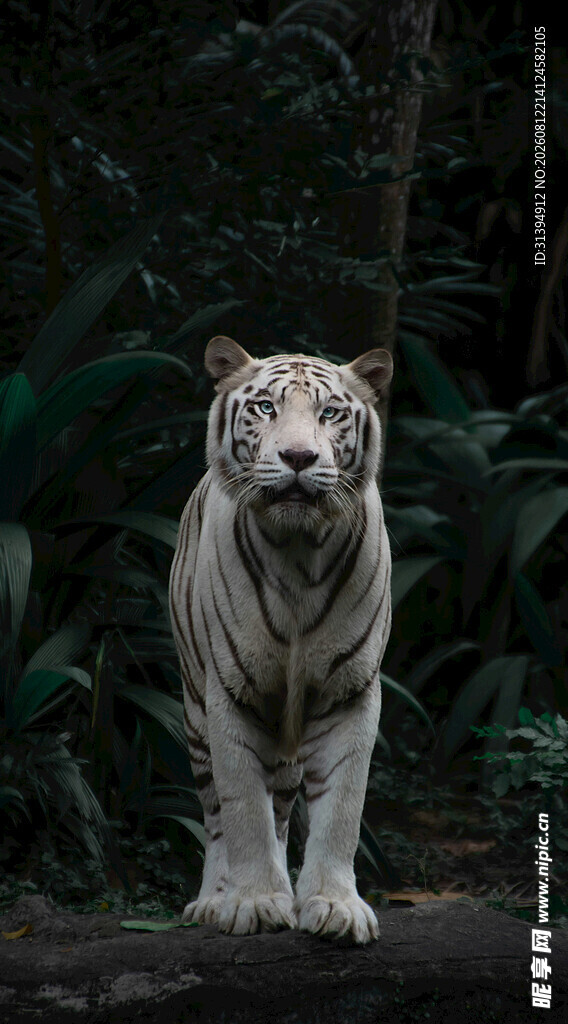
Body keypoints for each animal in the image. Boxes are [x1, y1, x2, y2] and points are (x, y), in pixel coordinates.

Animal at [168, 335, 393, 944]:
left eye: (330, 413)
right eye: (266, 407)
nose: (297, 458)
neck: (298, 551)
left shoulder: (349, 692)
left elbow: (341, 808)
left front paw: (334, 906)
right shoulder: (230, 693)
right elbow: (243, 808)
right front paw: (254, 902)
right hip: (194, 710)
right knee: (216, 815)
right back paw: (212, 901)